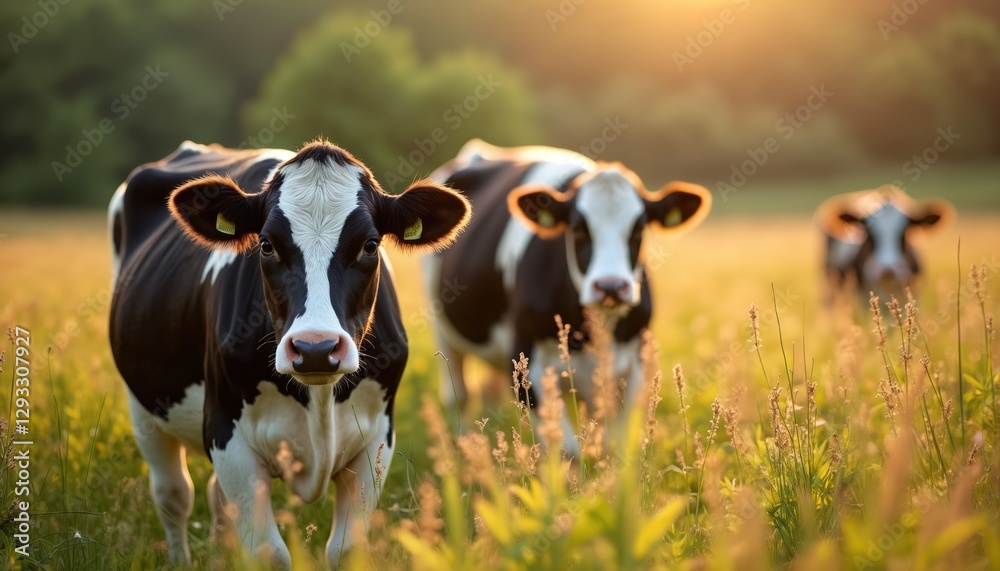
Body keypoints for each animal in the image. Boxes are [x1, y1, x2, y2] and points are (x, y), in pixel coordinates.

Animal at [108, 139, 470, 567]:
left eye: (370, 245)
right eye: (266, 245)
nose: (316, 348)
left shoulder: (377, 439)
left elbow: (345, 549)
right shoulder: (226, 432)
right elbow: (269, 553)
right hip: (142, 406)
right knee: (174, 495)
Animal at [423, 139, 712, 455]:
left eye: (639, 229)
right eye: (578, 229)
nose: (611, 286)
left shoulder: (635, 366)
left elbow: (617, 447)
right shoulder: (528, 369)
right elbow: (568, 451)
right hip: (442, 329)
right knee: (460, 394)